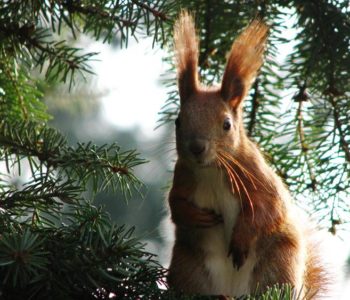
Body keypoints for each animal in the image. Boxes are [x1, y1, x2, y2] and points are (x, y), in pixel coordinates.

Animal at [166, 11, 326, 298]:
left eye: (227, 124)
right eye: (178, 121)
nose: (196, 148)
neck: (211, 170)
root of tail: (234, 290)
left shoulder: (255, 175)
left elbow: (268, 210)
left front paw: (241, 238)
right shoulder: (183, 174)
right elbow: (175, 205)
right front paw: (195, 216)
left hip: (279, 263)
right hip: (187, 266)